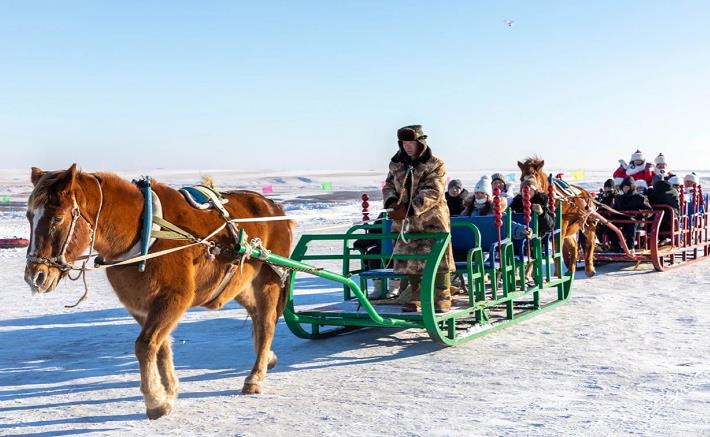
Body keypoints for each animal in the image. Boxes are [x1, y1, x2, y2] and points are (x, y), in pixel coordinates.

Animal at [24, 164, 292, 418]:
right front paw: (169, 391)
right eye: (29, 216)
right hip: (240, 284)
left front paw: (155, 401)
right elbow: (160, 346)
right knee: (256, 315)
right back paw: (267, 357)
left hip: (269, 279)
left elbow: (145, 345)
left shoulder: (173, 299)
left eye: (57, 218)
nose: (35, 276)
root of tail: (275, 208)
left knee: (267, 323)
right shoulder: (141, 305)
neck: (145, 232)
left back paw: (255, 376)